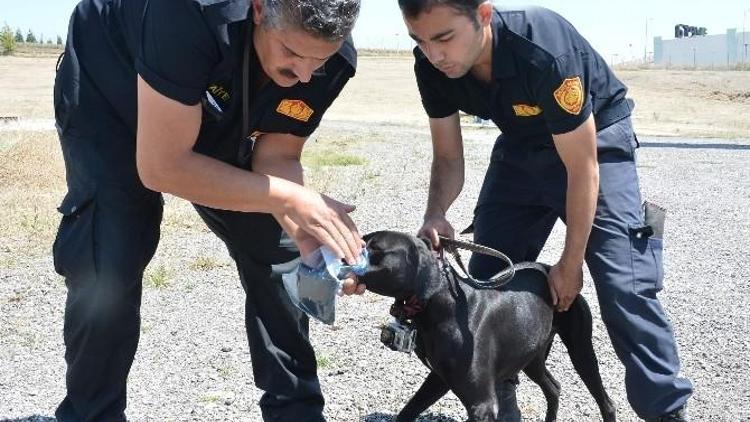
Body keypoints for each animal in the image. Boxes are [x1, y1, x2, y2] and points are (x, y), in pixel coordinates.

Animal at [362, 232, 620, 420]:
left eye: (375, 248)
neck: (440, 303)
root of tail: (551, 269)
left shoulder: (481, 404)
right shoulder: (438, 378)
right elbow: (407, 412)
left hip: (581, 351)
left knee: (606, 403)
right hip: (531, 357)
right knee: (554, 388)